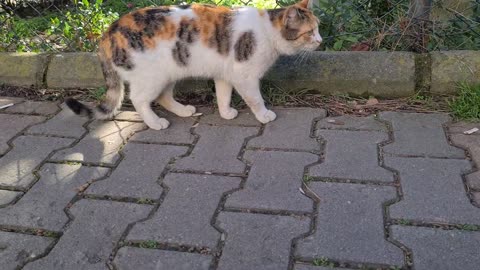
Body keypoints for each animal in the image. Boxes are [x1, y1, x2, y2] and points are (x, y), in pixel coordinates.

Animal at [65, 0, 322, 130]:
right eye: (309, 32)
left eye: (318, 27)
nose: (320, 40)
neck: (267, 31)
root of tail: (109, 30)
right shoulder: (245, 76)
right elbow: (255, 99)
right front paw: (264, 115)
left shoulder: (225, 74)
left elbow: (223, 95)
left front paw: (226, 113)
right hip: (151, 76)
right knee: (138, 99)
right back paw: (155, 122)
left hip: (170, 71)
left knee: (163, 96)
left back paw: (182, 110)